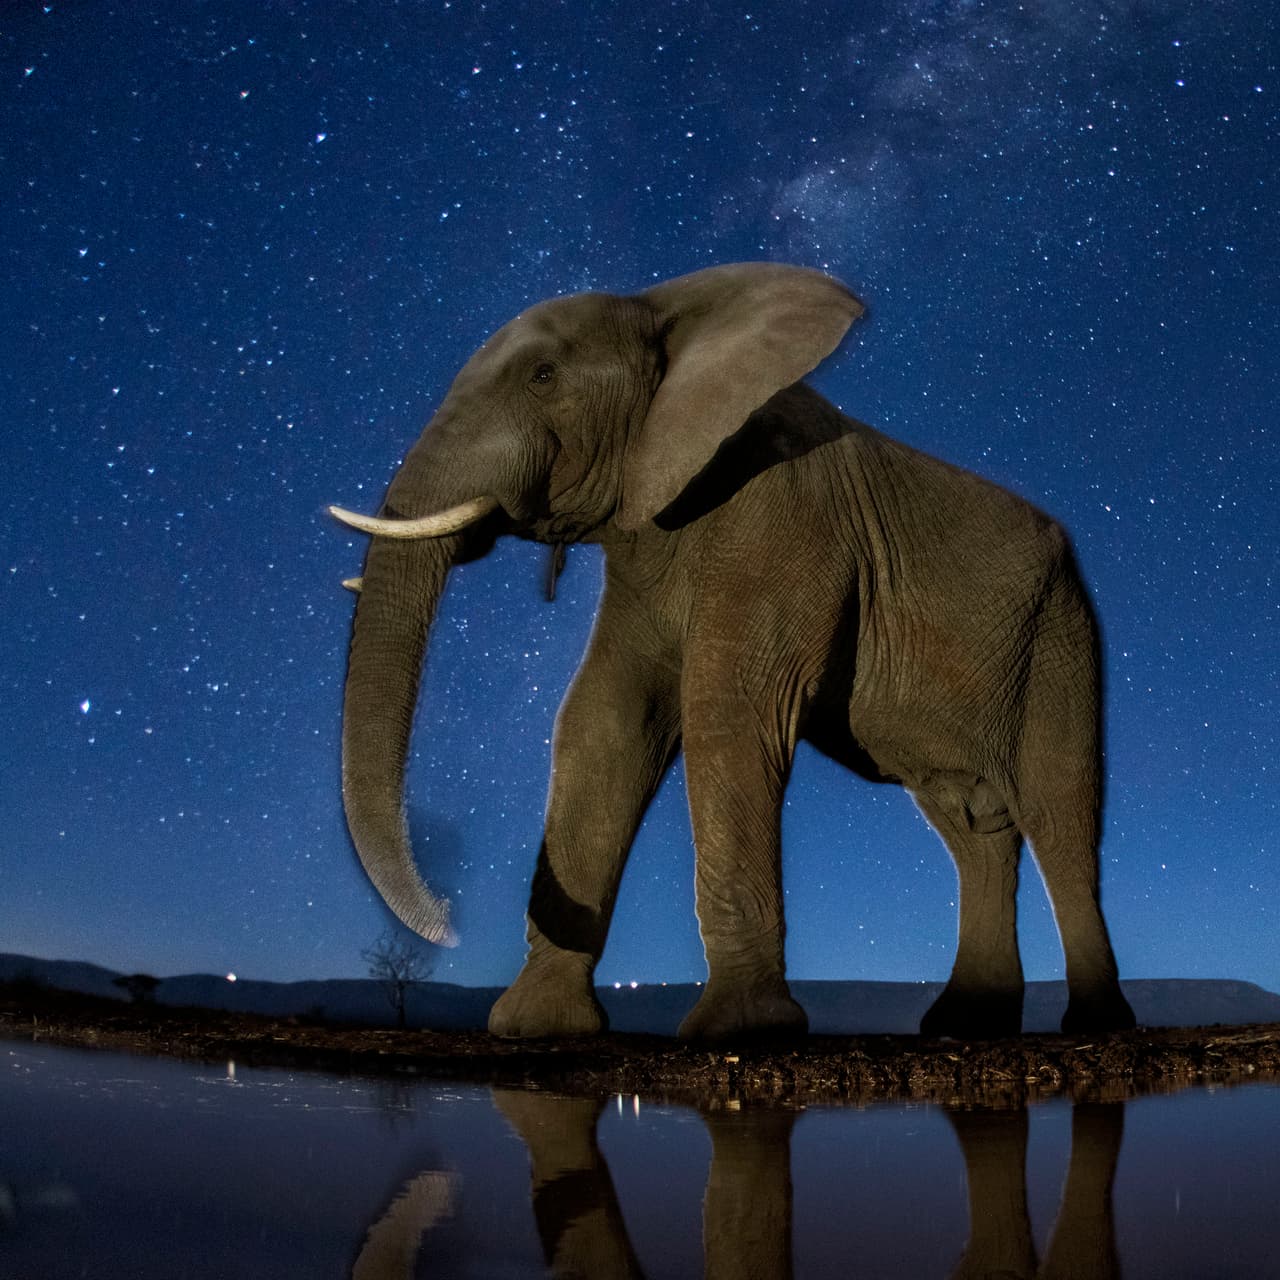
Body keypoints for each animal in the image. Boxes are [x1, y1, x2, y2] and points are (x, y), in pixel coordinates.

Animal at [329, 261, 1136, 1042]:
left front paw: (743, 1029)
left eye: (543, 377)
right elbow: (604, 723)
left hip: (1061, 637)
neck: (667, 310)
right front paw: (535, 1028)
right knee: (972, 826)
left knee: (1059, 817)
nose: (447, 924)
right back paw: (963, 1026)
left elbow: (727, 710)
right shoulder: (646, 546)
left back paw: (1094, 1024)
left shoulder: (784, 510)